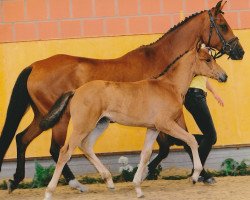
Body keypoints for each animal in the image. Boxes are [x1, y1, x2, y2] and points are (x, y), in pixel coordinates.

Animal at [41, 45, 229, 200]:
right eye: (208, 59)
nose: (224, 76)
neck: (170, 86)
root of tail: (75, 91)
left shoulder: (153, 128)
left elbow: (145, 154)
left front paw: (138, 188)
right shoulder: (165, 124)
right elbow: (191, 140)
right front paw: (195, 176)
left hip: (100, 124)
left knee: (86, 145)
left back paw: (109, 181)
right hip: (83, 126)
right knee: (65, 152)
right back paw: (49, 192)